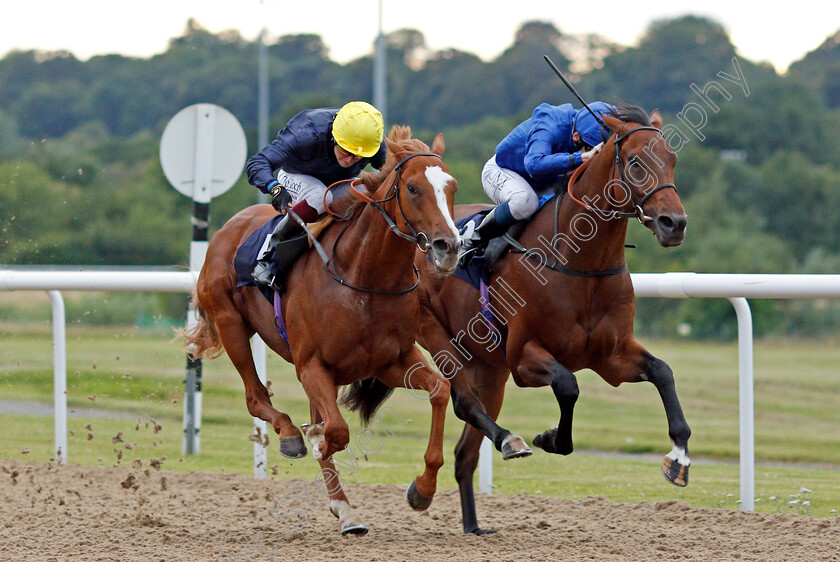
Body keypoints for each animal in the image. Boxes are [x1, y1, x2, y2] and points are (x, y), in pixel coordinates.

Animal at [180, 126, 462, 532]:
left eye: (452, 187)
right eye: (412, 188)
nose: (448, 247)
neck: (365, 277)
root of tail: (228, 228)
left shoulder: (391, 361)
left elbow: (441, 389)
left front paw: (422, 489)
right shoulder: (312, 364)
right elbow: (335, 431)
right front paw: (313, 439)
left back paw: (344, 508)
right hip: (231, 324)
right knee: (255, 397)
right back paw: (293, 438)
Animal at [416, 104, 692, 528]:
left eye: (673, 159)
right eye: (634, 161)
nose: (674, 223)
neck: (581, 264)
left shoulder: (611, 356)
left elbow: (663, 372)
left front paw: (678, 458)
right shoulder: (523, 357)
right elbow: (568, 385)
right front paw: (549, 437)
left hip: (490, 368)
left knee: (465, 452)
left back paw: (475, 527)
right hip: (441, 336)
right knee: (461, 401)